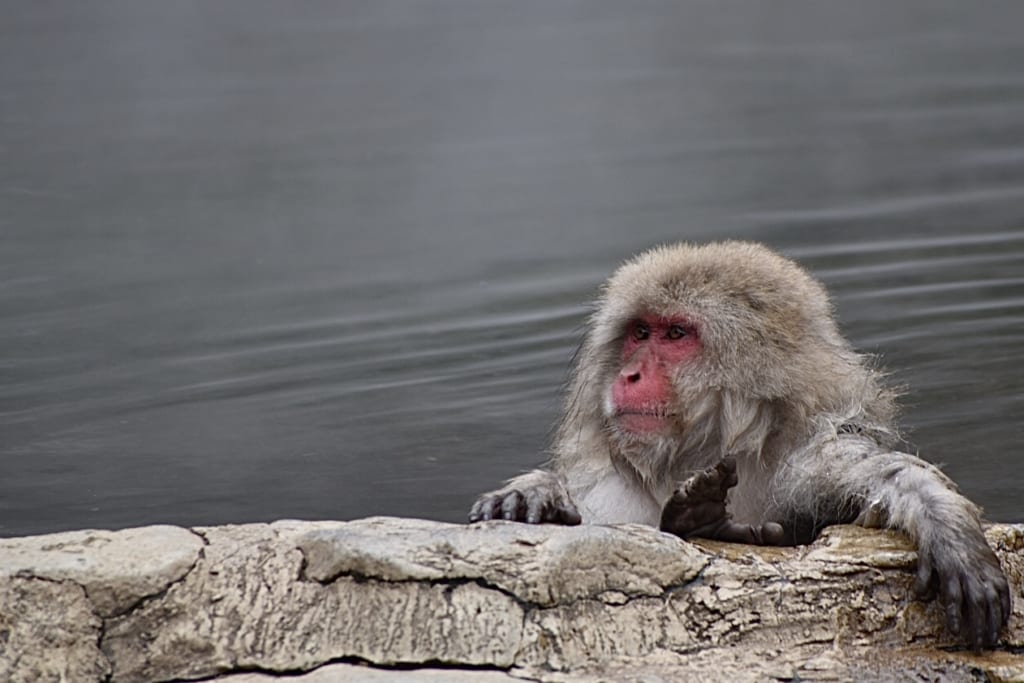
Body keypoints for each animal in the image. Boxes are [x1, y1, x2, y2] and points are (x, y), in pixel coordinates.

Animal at [469, 240, 1010, 651]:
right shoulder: (614, 489)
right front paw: (536, 494)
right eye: (640, 332)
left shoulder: (808, 456)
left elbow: (875, 477)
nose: (629, 375)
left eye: (676, 333)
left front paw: (943, 522)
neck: (718, 447)